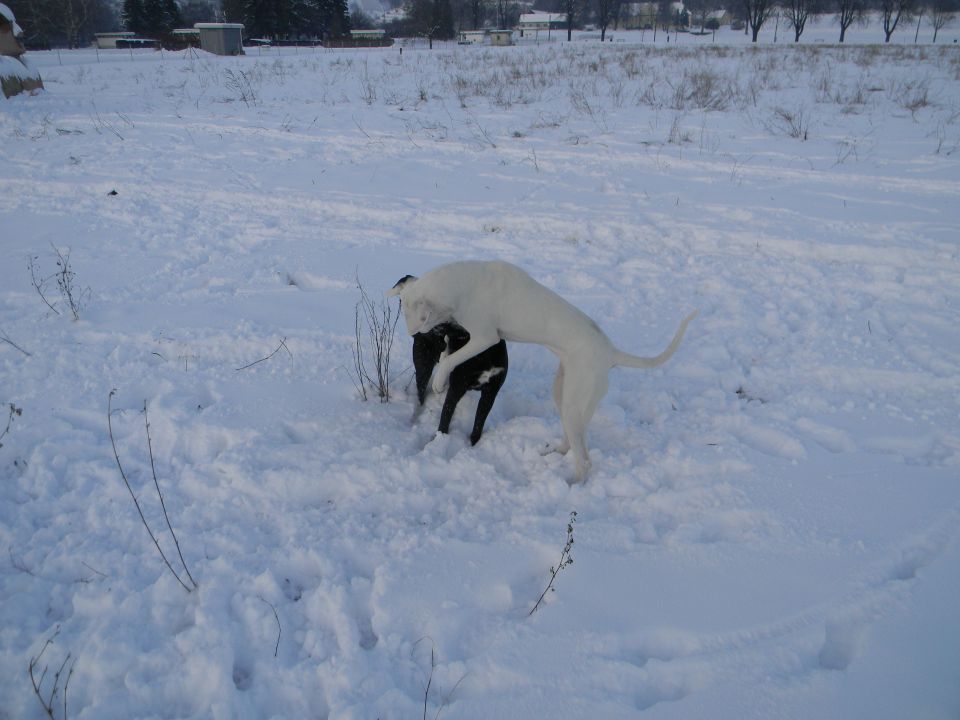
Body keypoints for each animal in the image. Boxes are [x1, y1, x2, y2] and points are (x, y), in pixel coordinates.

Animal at [390, 260, 696, 484]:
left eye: (408, 314)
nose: (412, 336)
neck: (462, 284)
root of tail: (611, 352)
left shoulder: (485, 338)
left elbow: (451, 360)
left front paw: (439, 382)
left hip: (573, 400)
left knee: (585, 460)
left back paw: (573, 486)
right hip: (567, 395)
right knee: (574, 442)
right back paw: (554, 453)